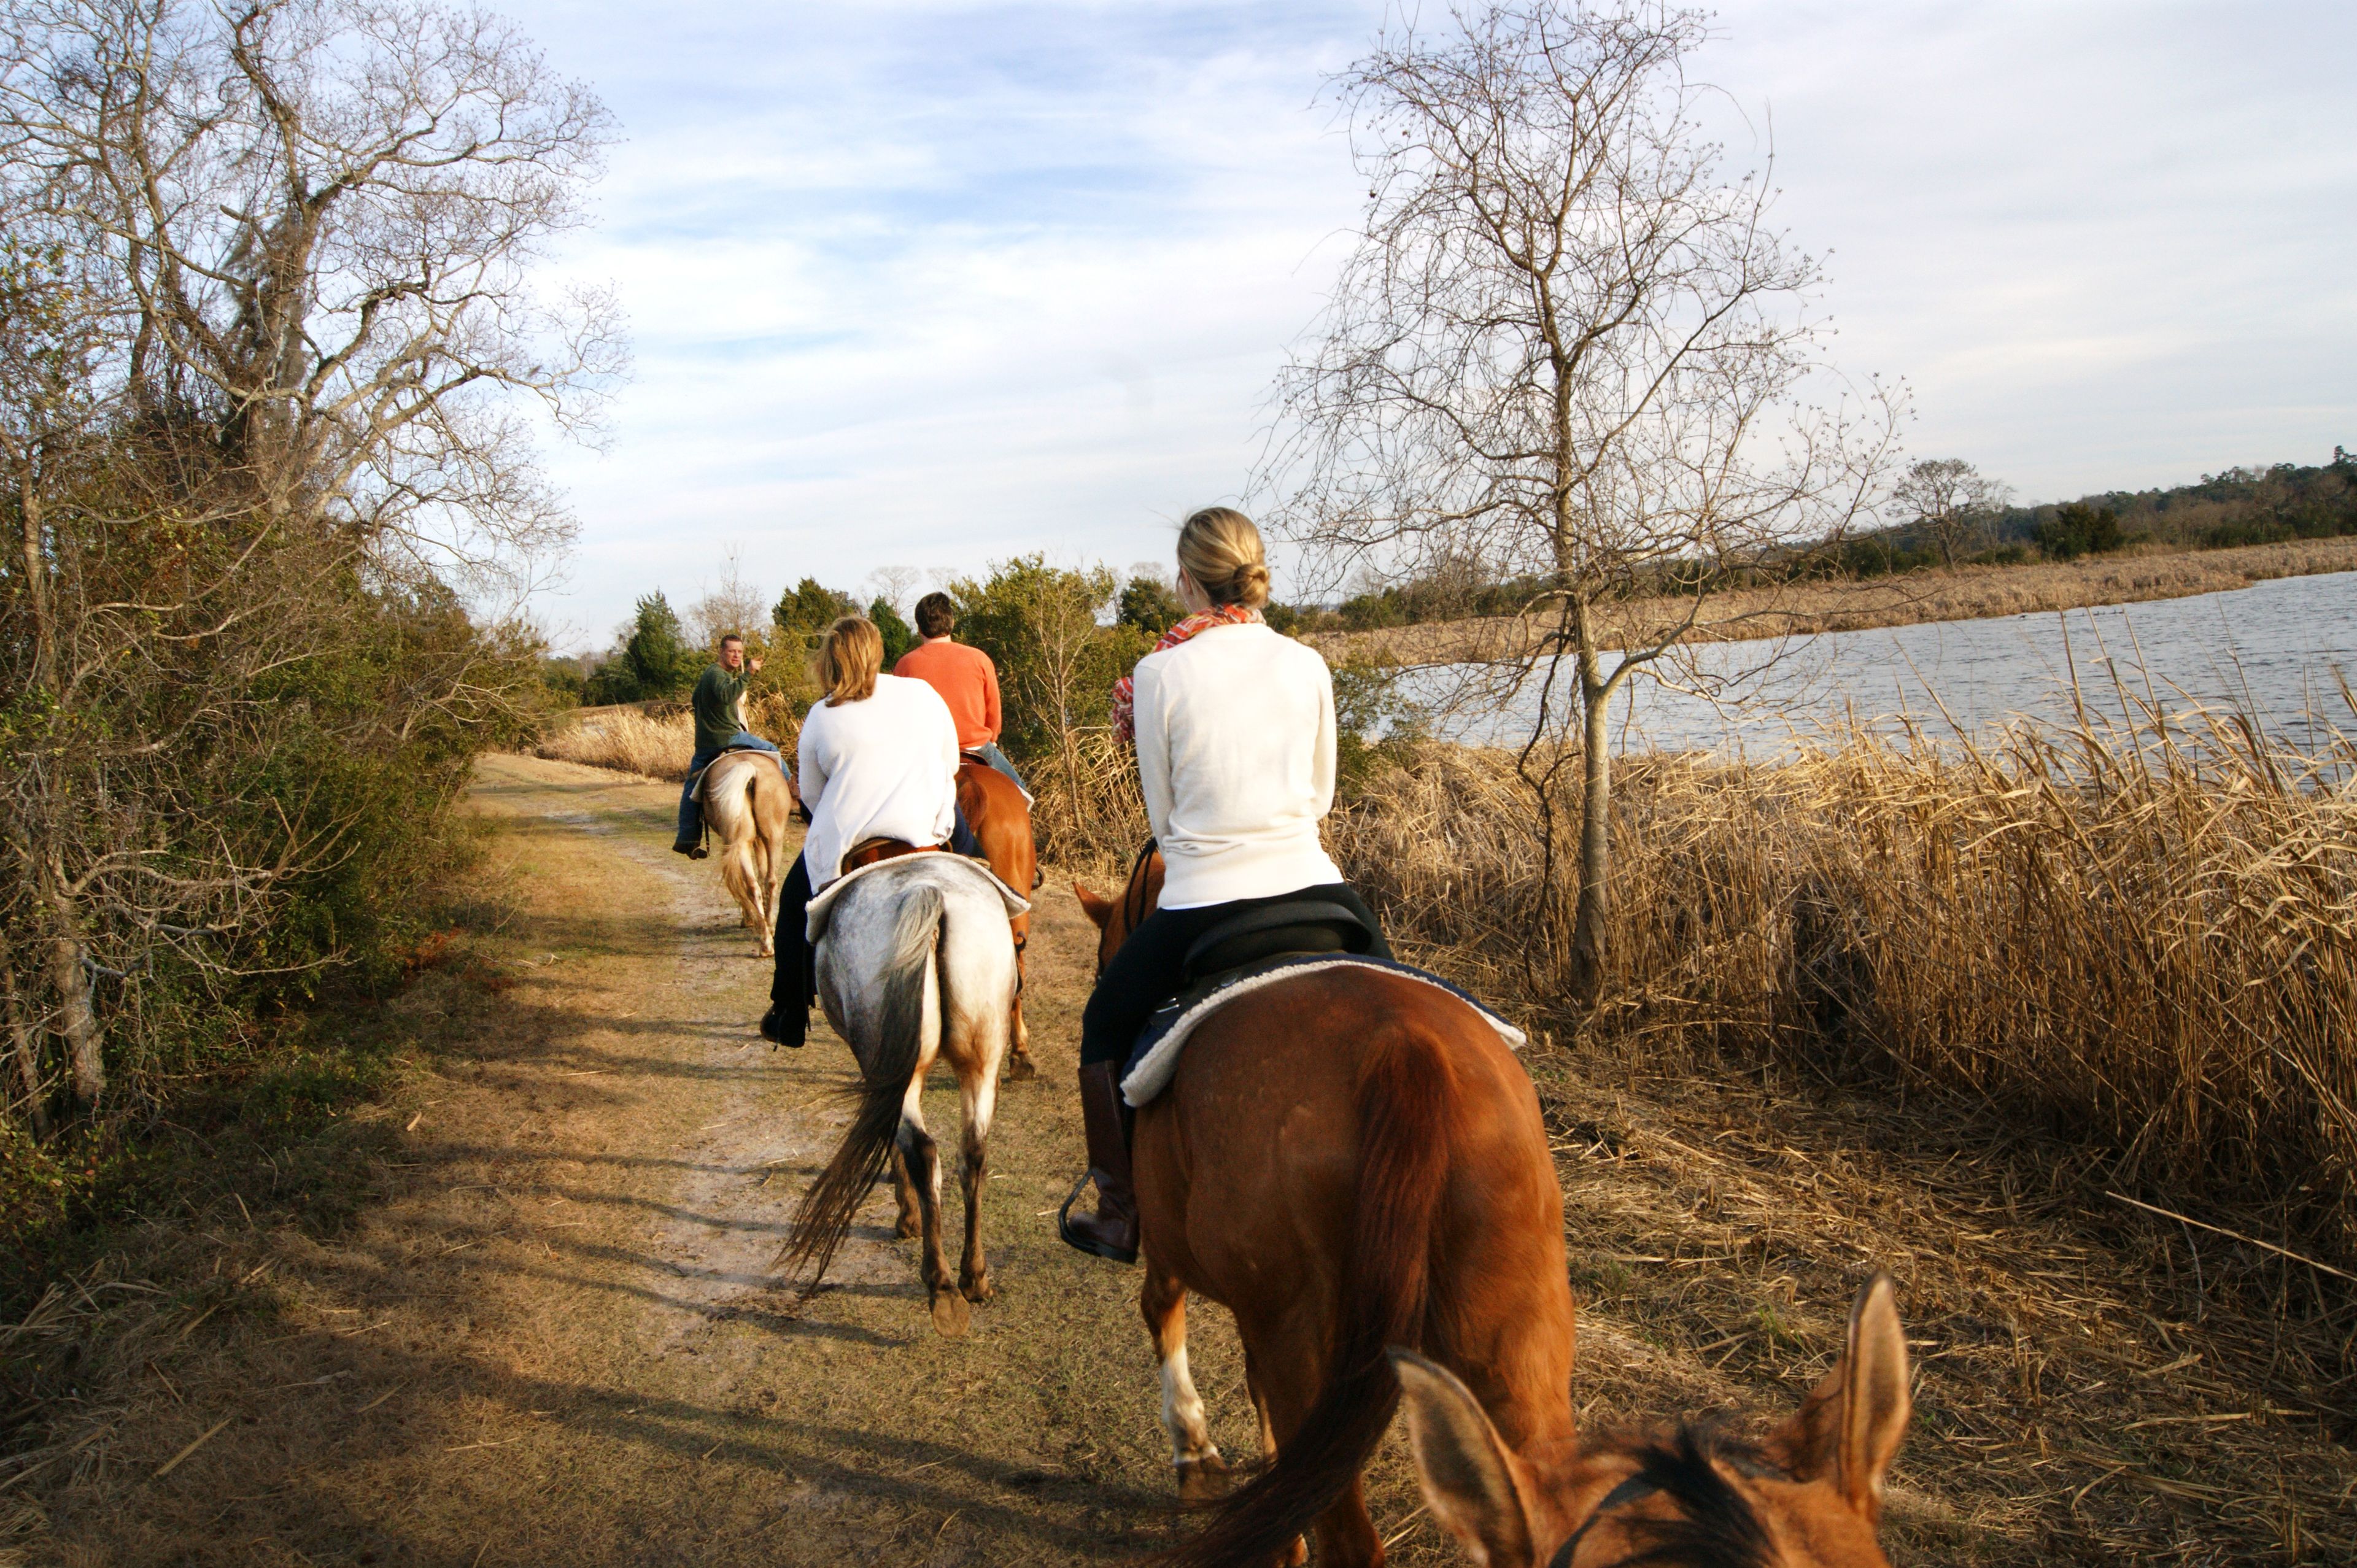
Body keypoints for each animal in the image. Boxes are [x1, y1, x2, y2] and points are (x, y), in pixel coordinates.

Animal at [696, 749, 793, 956]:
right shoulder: (759, 840)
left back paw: (763, 938)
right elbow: (763, 873)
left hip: (740, 844)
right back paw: (768, 934)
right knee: (769, 881)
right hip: (773, 837)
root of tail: (749, 769)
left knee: (750, 884)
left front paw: (748, 918)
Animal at [781, 851, 1023, 1338]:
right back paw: (974, 1277)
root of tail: (930, 893)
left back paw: (941, 1286)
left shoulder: (881, 1069)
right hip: (982, 1058)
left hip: (896, 1065)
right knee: (973, 1154)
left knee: (923, 1149)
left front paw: (906, 1214)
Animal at [1074, 850, 1912, 1567]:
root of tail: (1402, 1046)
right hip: (1509, 1323)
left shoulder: (1191, 1260)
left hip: (1307, 1331)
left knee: (1349, 1531)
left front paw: (1195, 1453)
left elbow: (1165, 1311)